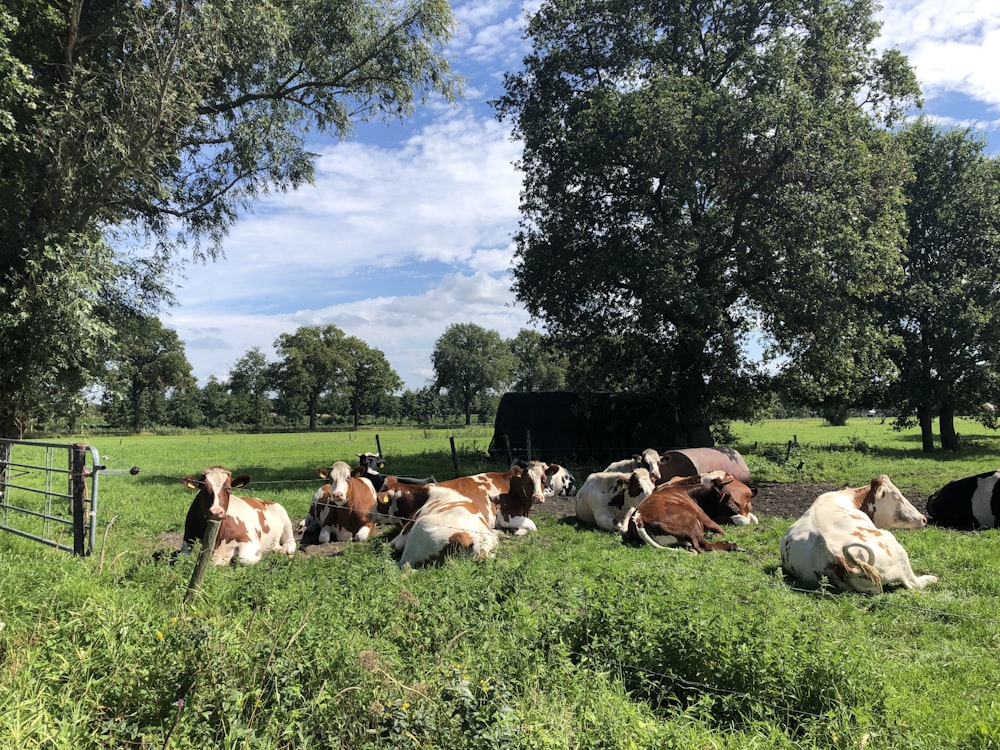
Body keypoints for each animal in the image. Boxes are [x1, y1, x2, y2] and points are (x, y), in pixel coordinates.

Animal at [780, 478, 936, 596]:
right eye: (896, 496)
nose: (923, 519)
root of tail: (836, 555)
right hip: (897, 549)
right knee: (913, 583)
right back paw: (931, 578)